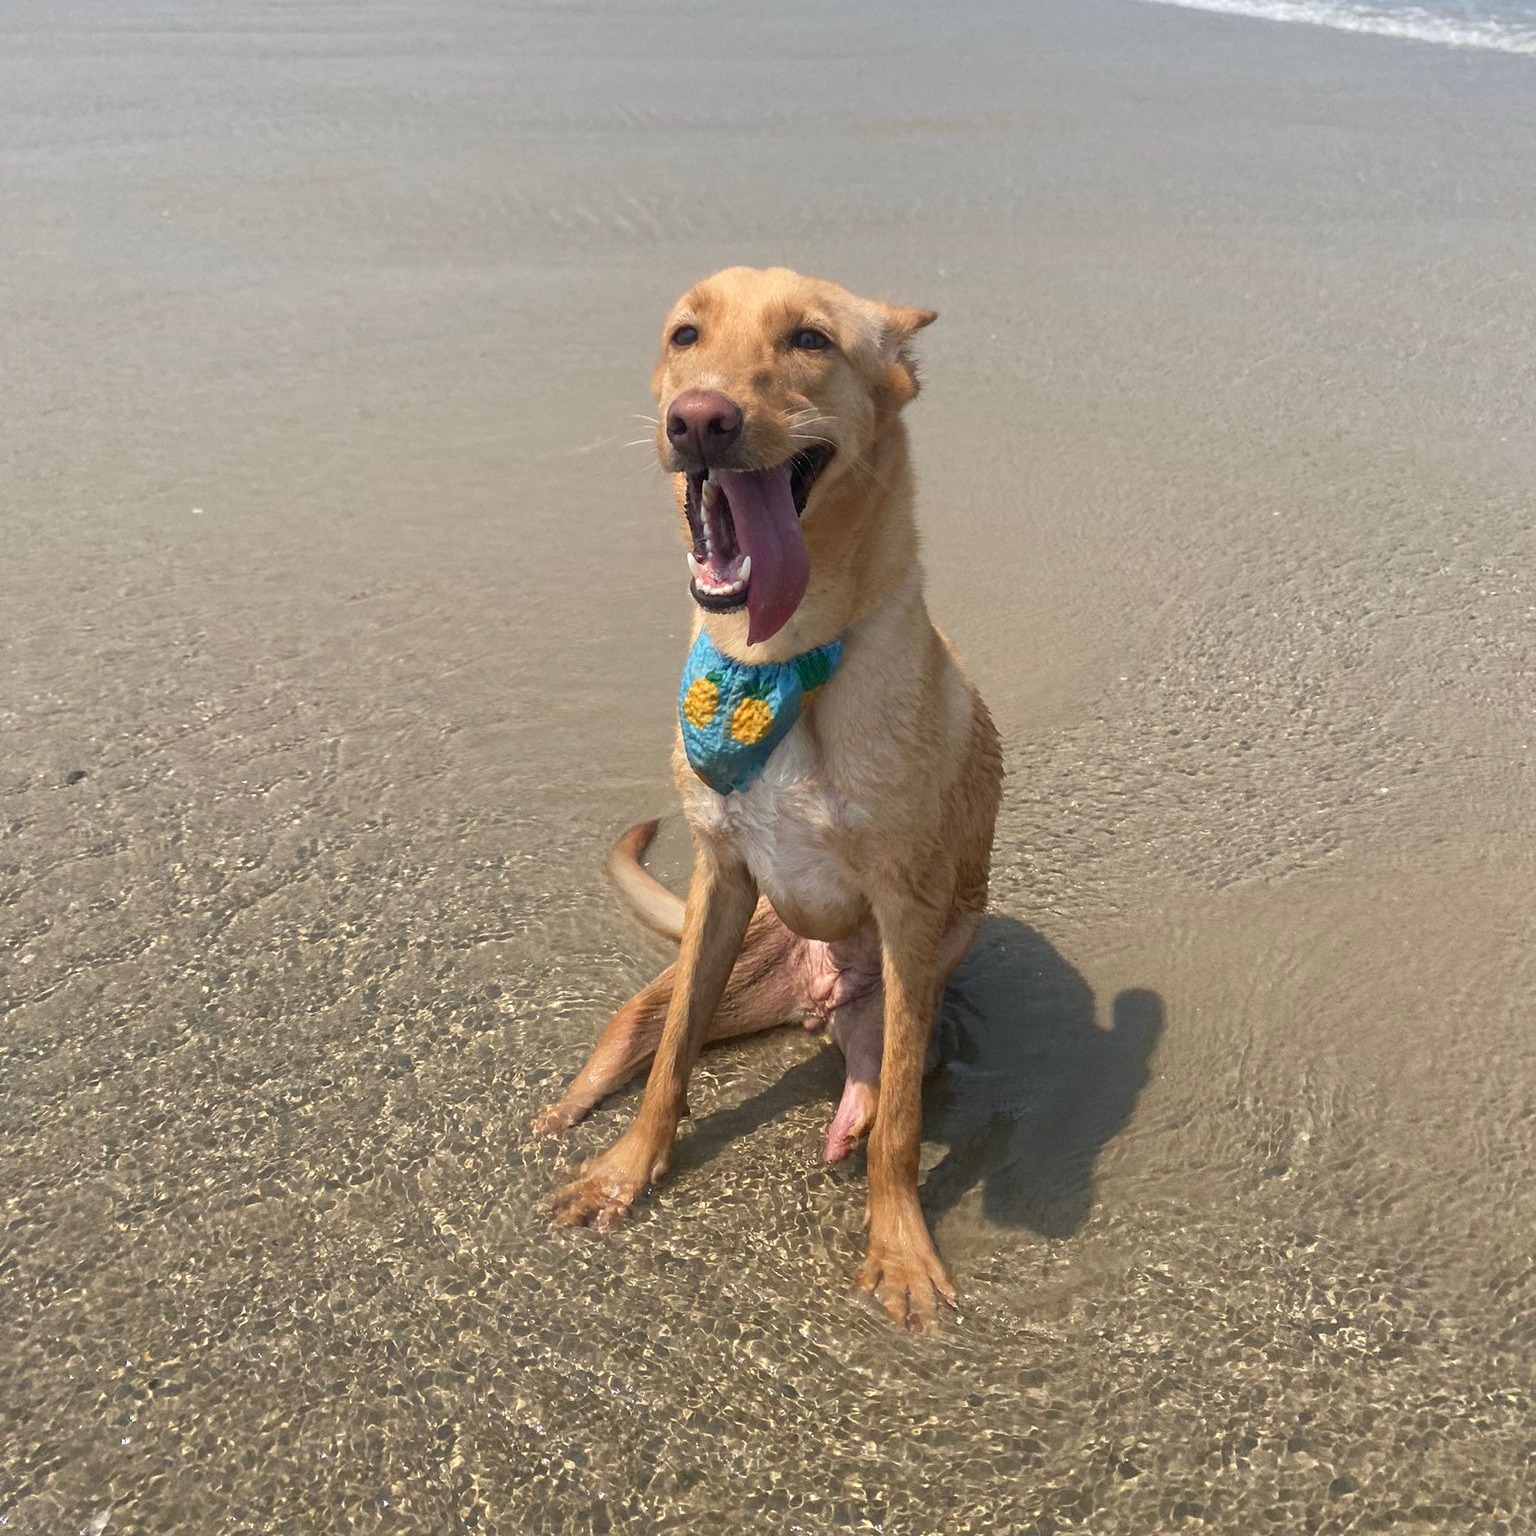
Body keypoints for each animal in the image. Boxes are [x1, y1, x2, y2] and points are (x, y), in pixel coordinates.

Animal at [534, 267, 1001, 1333]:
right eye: (685, 334)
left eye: (811, 341)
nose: (699, 419)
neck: (777, 662)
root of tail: (810, 996)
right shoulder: (721, 877)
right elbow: (670, 1071)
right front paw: (628, 1173)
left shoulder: (909, 915)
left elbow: (904, 1124)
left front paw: (899, 1246)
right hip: (721, 966)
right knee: (641, 1032)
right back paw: (574, 1106)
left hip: (903, 997)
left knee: (878, 1076)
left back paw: (850, 1114)